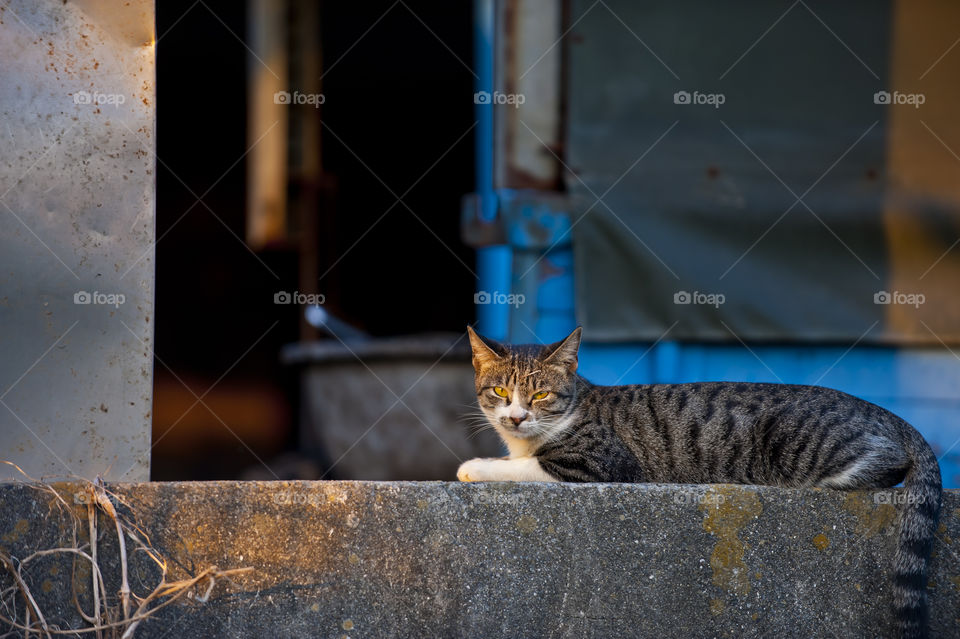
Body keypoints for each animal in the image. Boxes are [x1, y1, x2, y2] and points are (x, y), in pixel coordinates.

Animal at [460, 328, 944, 636]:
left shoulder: (598, 464)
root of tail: (876, 409)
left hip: (795, 440)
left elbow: (528, 466)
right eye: (500, 392)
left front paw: (474, 466)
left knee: (887, 460)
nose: (516, 417)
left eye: (540, 395)